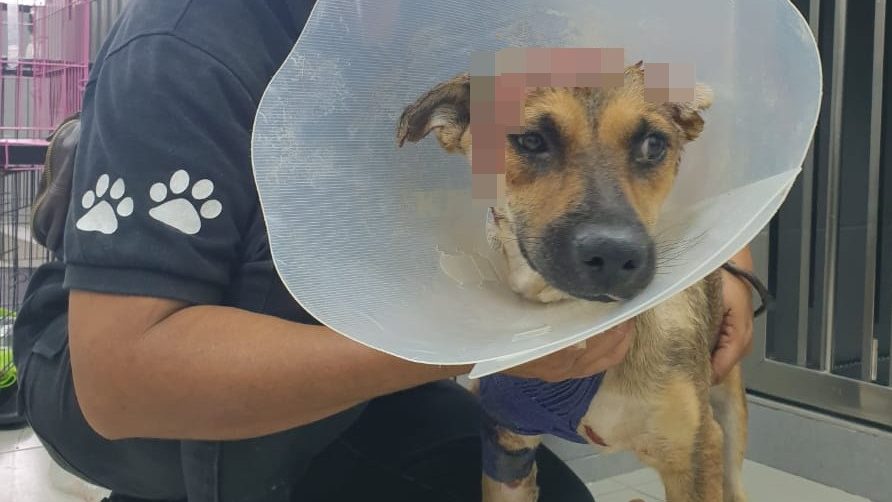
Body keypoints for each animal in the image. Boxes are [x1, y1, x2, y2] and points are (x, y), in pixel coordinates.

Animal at [396, 62, 748, 502]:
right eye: (531, 140)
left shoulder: (697, 454)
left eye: (653, 145)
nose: (613, 254)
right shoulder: (506, 451)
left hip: (729, 426)